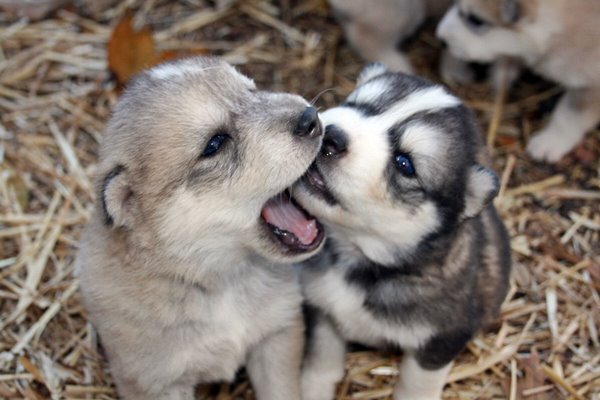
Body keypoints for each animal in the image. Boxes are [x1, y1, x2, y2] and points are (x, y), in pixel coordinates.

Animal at [78, 57, 328, 400]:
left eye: (252, 90)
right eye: (215, 144)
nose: (310, 117)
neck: (221, 281)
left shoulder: (278, 335)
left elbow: (282, 391)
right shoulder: (158, 383)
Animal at [292, 63, 508, 400]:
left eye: (404, 163)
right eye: (357, 105)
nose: (331, 136)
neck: (358, 256)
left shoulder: (441, 340)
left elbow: (416, 382)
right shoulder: (321, 307)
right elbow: (321, 355)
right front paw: (313, 387)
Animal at [436, 0, 600, 162]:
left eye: (476, 20)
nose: (441, 38)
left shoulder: (590, 87)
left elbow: (568, 117)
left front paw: (550, 141)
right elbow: (506, 64)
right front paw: (497, 85)